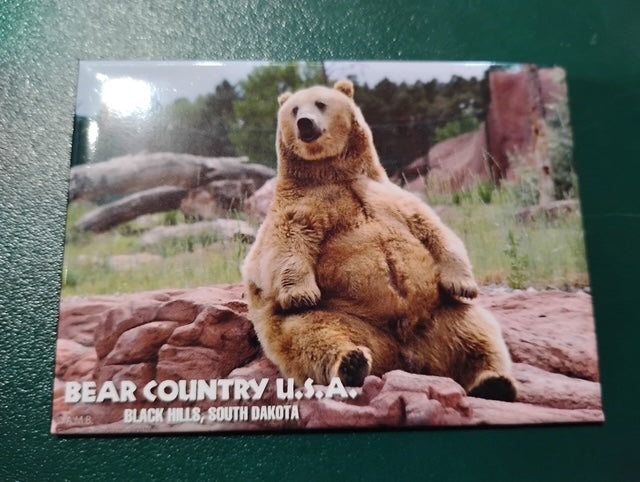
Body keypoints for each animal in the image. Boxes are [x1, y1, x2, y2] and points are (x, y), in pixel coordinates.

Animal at [242, 79, 516, 402]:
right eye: (295, 109)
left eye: (320, 103)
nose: (305, 123)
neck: (334, 173)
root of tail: (403, 355)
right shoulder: (301, 207)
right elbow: (283, 244)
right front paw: (300, 293)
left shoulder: (390, 196)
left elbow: (434, 230)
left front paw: (462, 284)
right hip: (339, 316)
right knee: (310, 333)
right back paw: (351, 363)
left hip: (438, 314)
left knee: (475, 333)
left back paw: (494, 383)